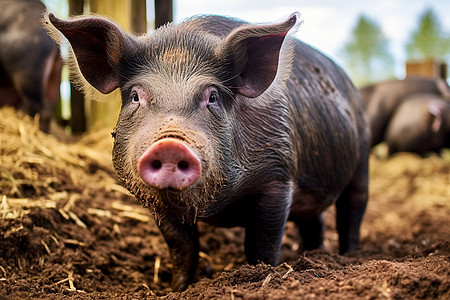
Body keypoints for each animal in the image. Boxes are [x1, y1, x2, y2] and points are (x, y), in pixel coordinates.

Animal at [44, 12, 370, 290]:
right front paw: (178, 289)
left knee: (353, 208)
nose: (170, 144)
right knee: (314, 221)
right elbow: (182, 248)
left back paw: (347, 257)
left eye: (212, 96)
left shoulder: (278, 175)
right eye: (135, 96)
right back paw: (311, 256)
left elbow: (262, 242)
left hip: (362, 157)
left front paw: (260, 278)